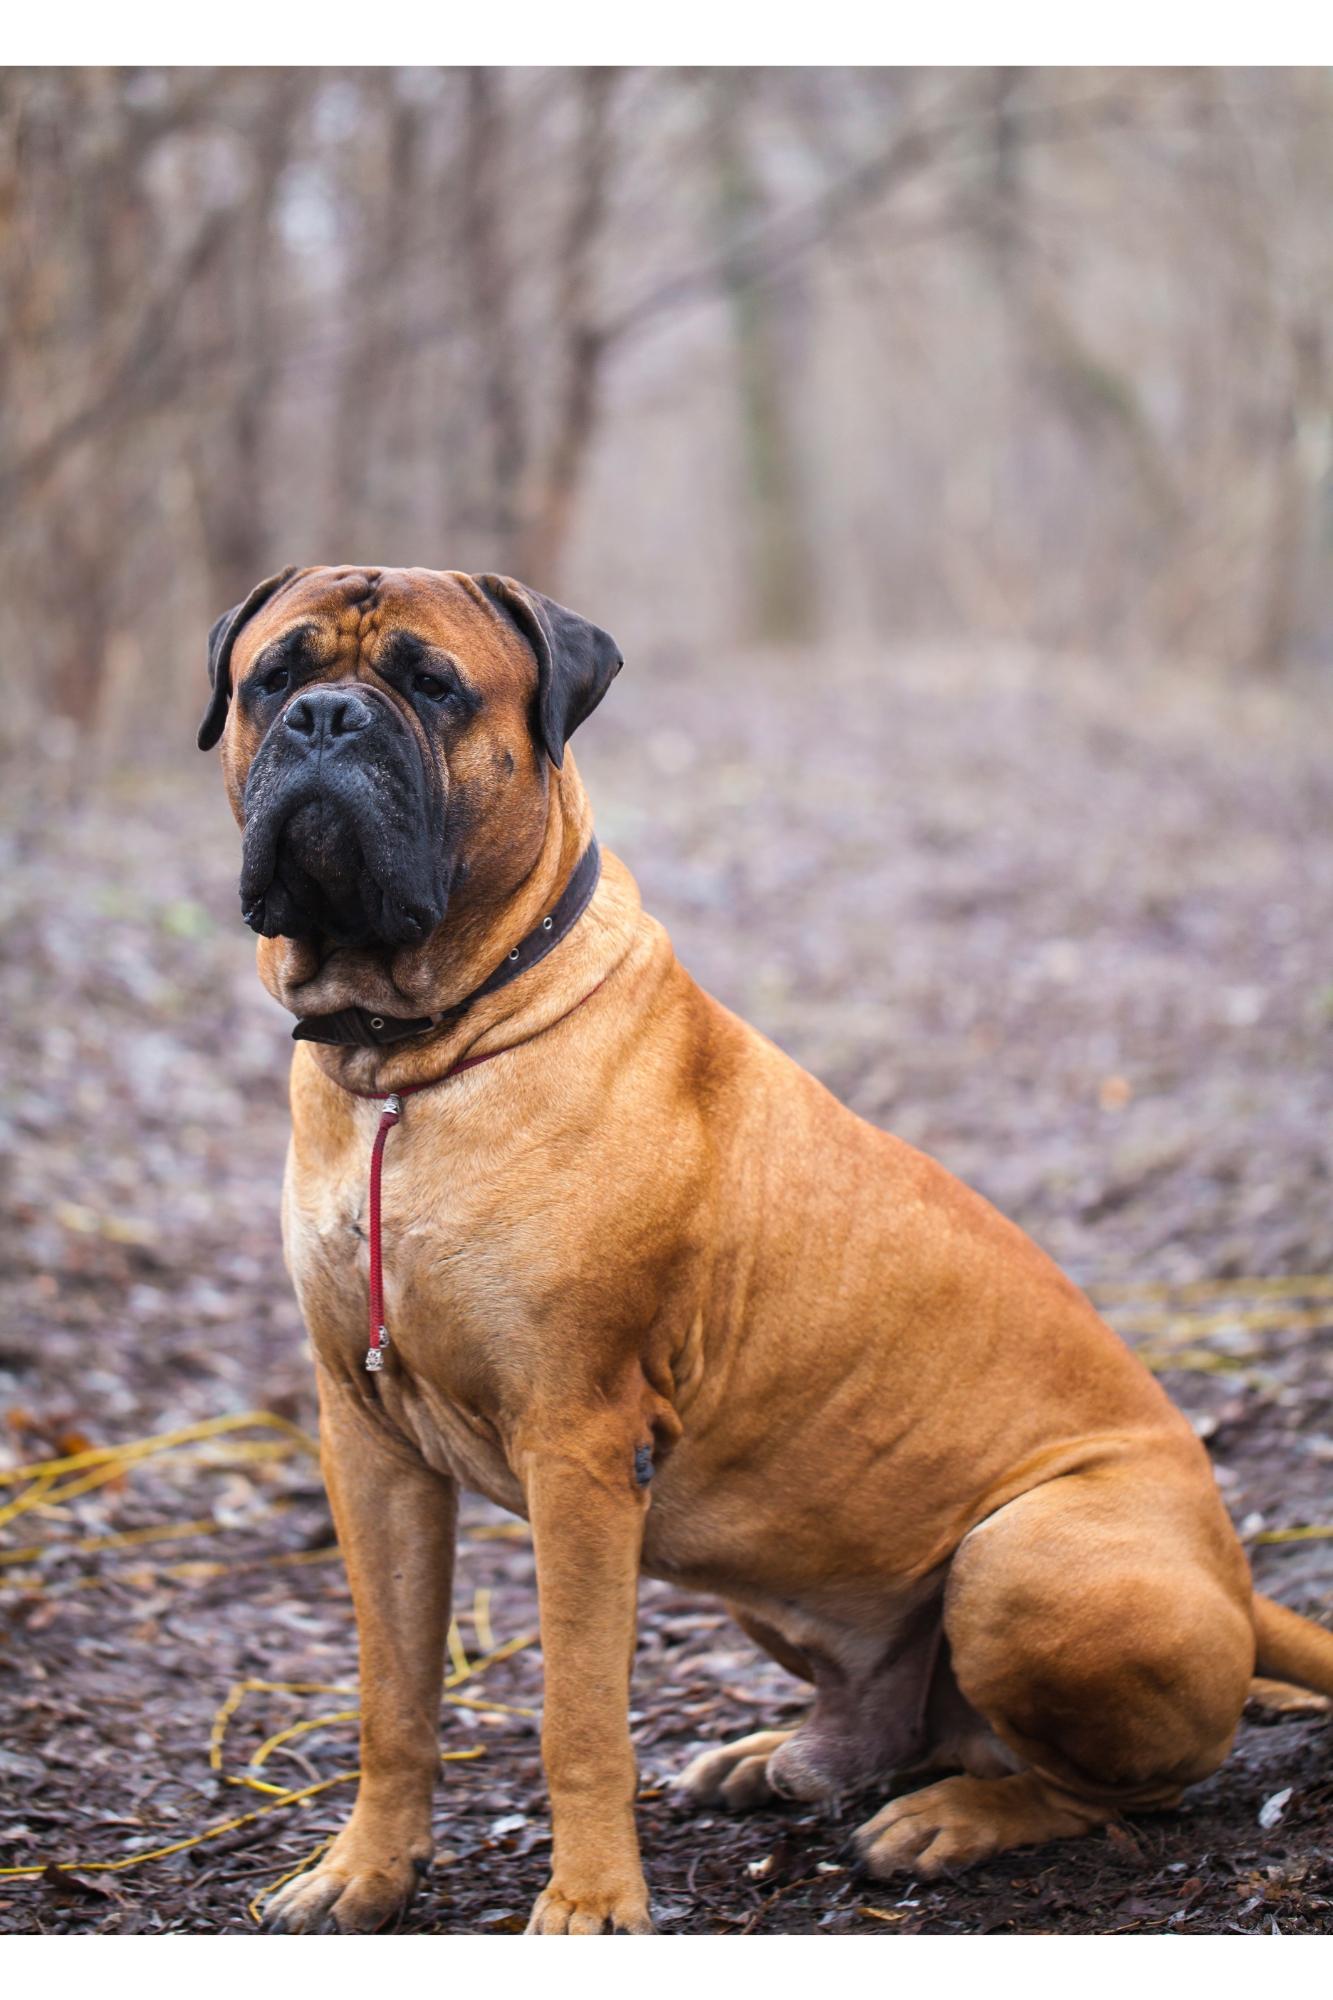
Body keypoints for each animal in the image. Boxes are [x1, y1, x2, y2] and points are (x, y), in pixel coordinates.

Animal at [197, 568, 1328, 1936]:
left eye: (431, 684)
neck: (411, 1055)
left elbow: (580, 1712)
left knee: (1124, 1786)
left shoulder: (580, 1449)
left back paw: (956, 1818)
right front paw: (365, 1867)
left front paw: (590, 1901)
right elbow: (392, 1692)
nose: (326, 719)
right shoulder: (368, 1444)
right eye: (272, 677)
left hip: (1022, 1558)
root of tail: (1235, 1577)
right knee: (908, 1722)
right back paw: (780, 1756)